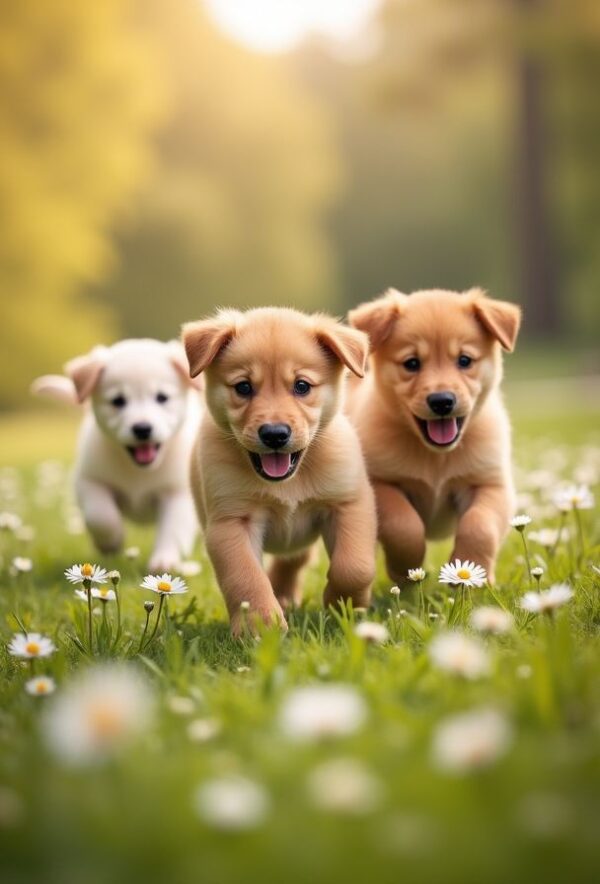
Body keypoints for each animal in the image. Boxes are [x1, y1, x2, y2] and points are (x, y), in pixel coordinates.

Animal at [32, 338, 202, 572]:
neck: (140, 471)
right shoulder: (90, 480)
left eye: (162, 397)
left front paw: (164, 561)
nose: (142, 428)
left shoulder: (178, 492)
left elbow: (173, 529)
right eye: (118, 400)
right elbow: (101, 517)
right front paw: (111, 542)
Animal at [183, 308, 378, 632]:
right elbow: (245, 578)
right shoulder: (231, 523)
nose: (274, 434)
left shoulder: (349, 504)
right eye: (243, 387)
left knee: (295, 559)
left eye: (302, 386)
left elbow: (354, 567)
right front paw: (260, 625)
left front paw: (343, 604)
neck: (288, 482)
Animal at [346, 286, 520, 584]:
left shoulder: (490, 484)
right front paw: (406, 569)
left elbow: (480, 526)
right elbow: (405, 526)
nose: (442, 401)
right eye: (411, 363)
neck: (436, 457)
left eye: (464, 360)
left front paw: (473, 574)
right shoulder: (381, 484)